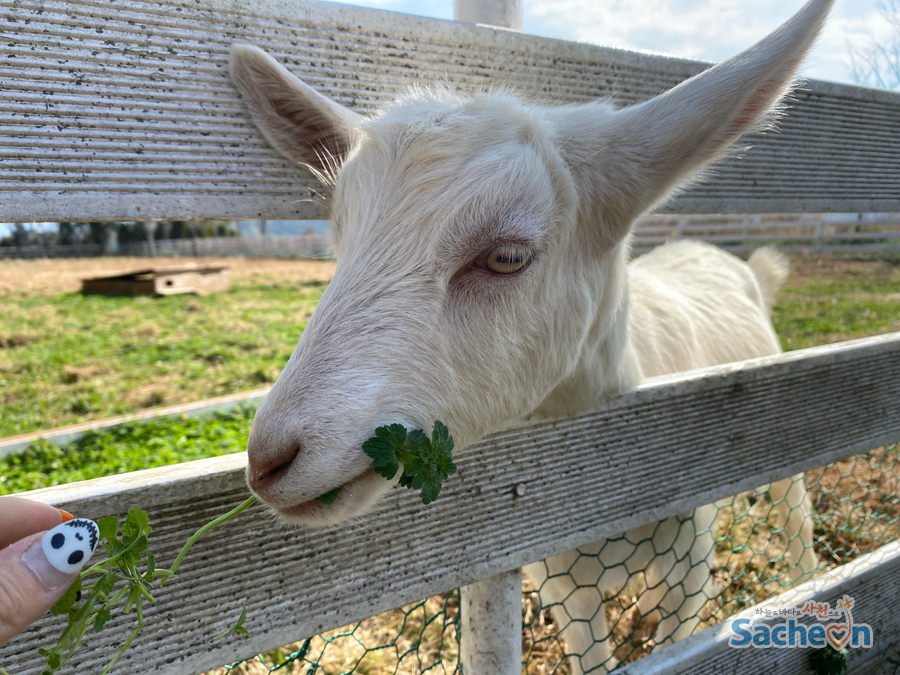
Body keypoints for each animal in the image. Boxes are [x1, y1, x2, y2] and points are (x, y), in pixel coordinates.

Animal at [230, 1, 828, 672]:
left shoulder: (691, 567)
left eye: (507, 256)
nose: (269, 461)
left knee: (798, 521)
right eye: (340, 234)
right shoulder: (564, 585)